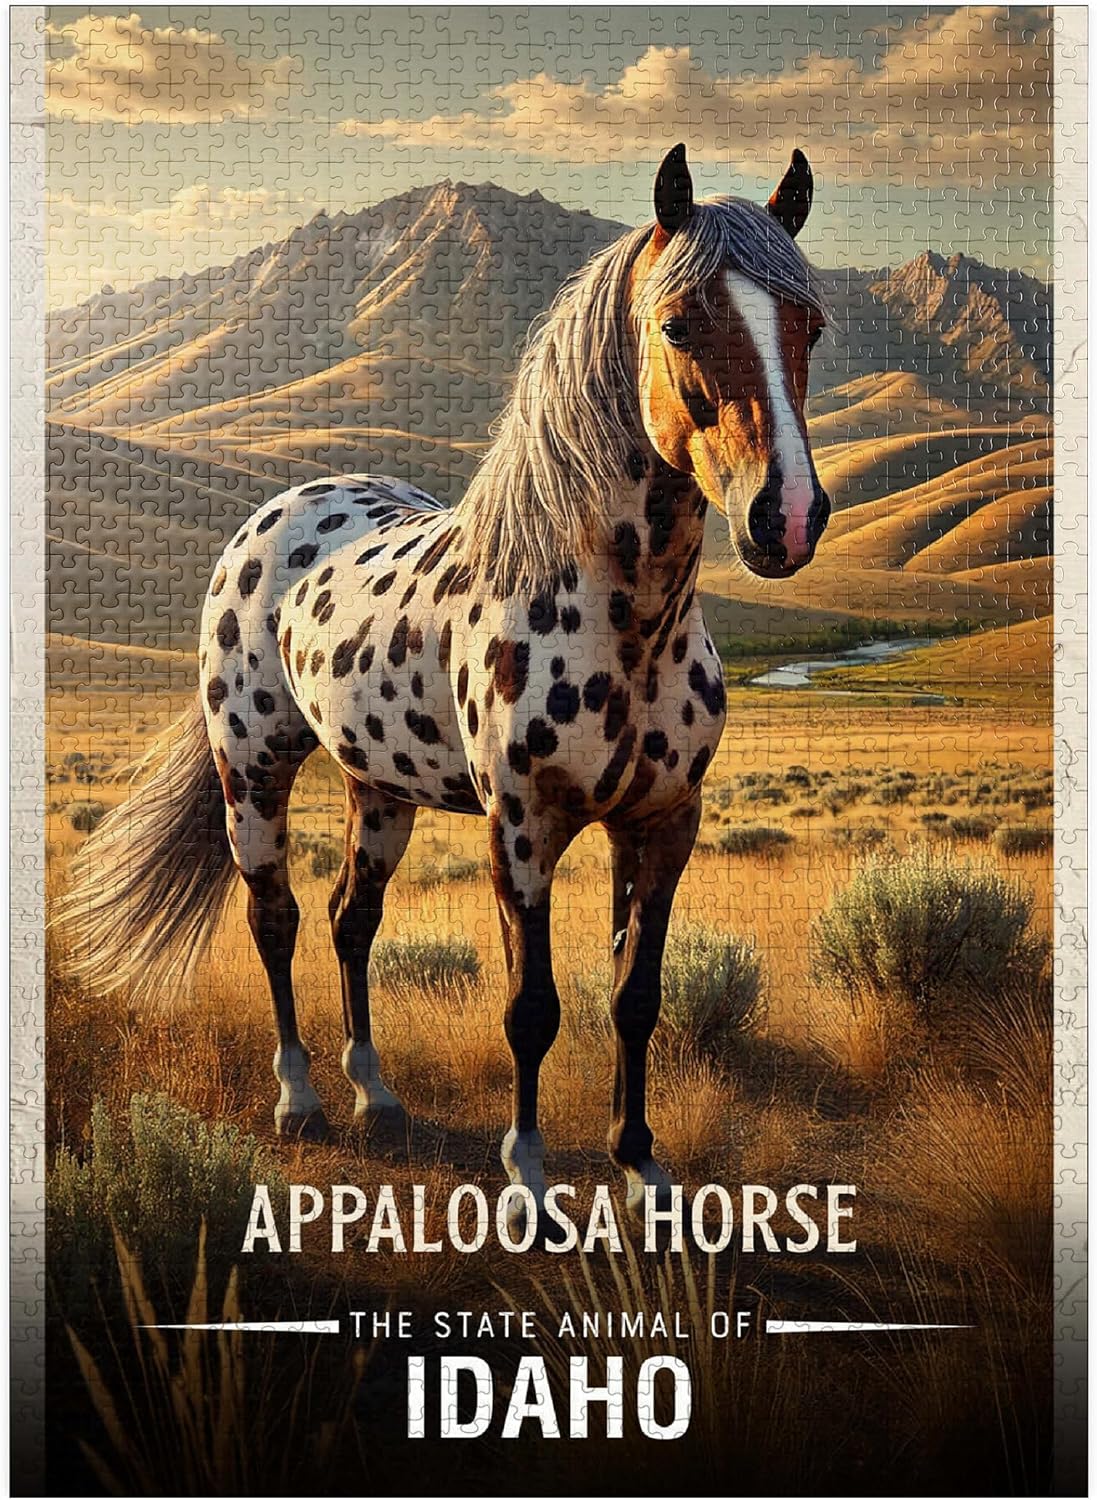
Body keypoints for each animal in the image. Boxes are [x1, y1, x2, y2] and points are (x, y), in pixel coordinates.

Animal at [57, 144, 830, 1219]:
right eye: (678, 322)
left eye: (811, 324)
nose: (785, 517)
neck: (625, 622)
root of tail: (276, 513)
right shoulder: (522, 831)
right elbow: (531, 1008)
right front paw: (529, 1176)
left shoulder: (663, 823)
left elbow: (636, 997)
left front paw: (640, 1165)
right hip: (251, 771)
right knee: (274, 919)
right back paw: (299, 1098)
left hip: (379, 788)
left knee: (350, 920)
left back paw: (375, 1094)